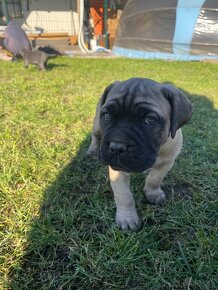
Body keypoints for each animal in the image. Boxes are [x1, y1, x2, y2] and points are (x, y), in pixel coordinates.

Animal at [87, 77, 192, 231]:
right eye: (107, 116)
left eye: (150, 120)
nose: (116, 147)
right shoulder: (117, 170)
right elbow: (124, 195)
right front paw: (127, 218)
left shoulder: (166, 163)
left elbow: (154, 179)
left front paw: (153, 193)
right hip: (96, 125)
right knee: (95, 135)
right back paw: (92, 150)